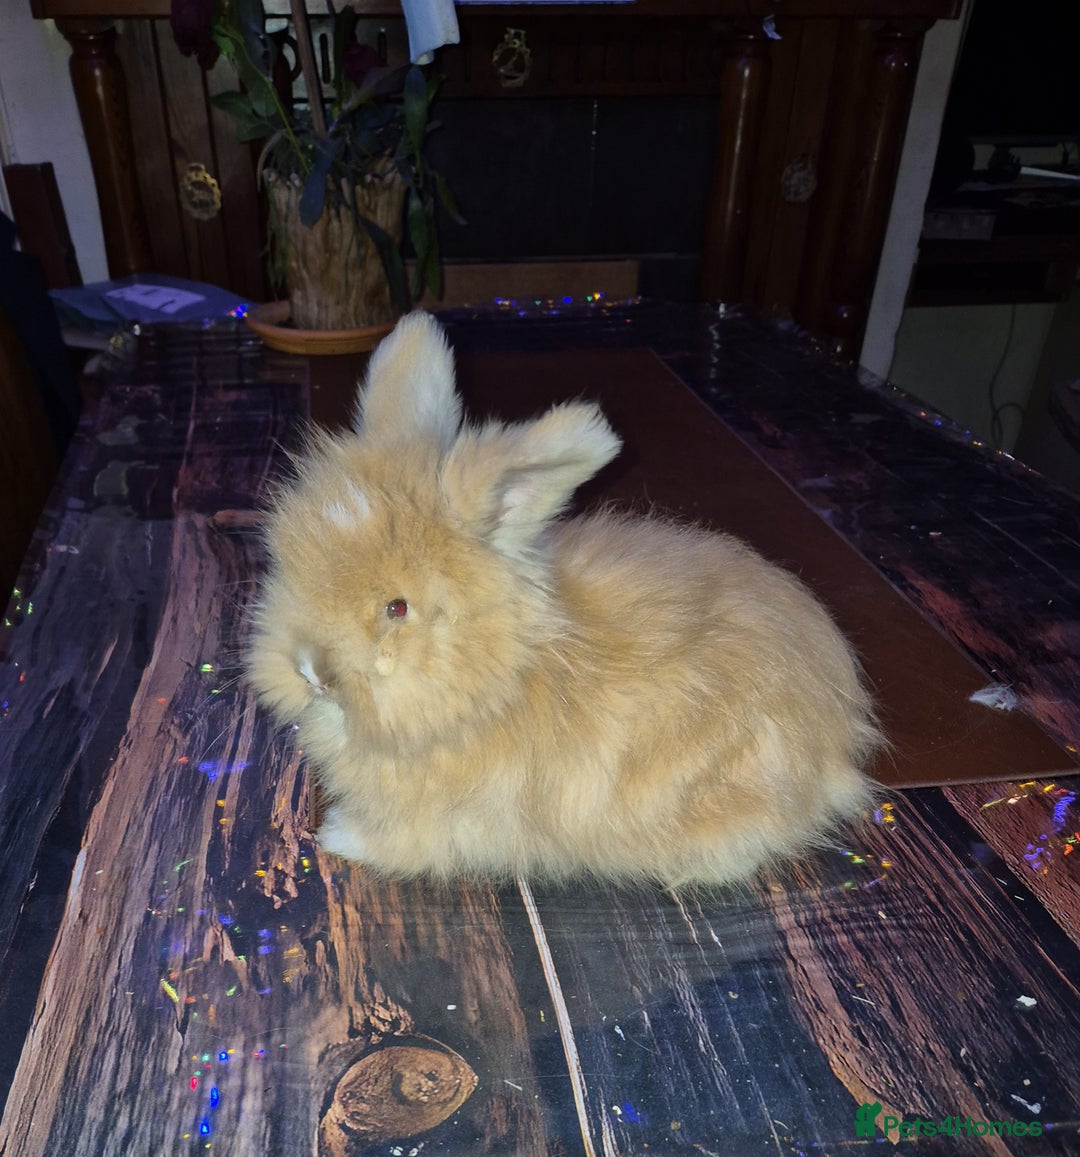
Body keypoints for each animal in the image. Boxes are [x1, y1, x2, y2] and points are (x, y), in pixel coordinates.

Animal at [246, 311, 882, 888]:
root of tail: (838, 737)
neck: (497, 681)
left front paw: (335, 834)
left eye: (397, 608)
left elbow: (400, 841)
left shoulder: (443, 820)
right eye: (289, 568)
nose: (309, 671)